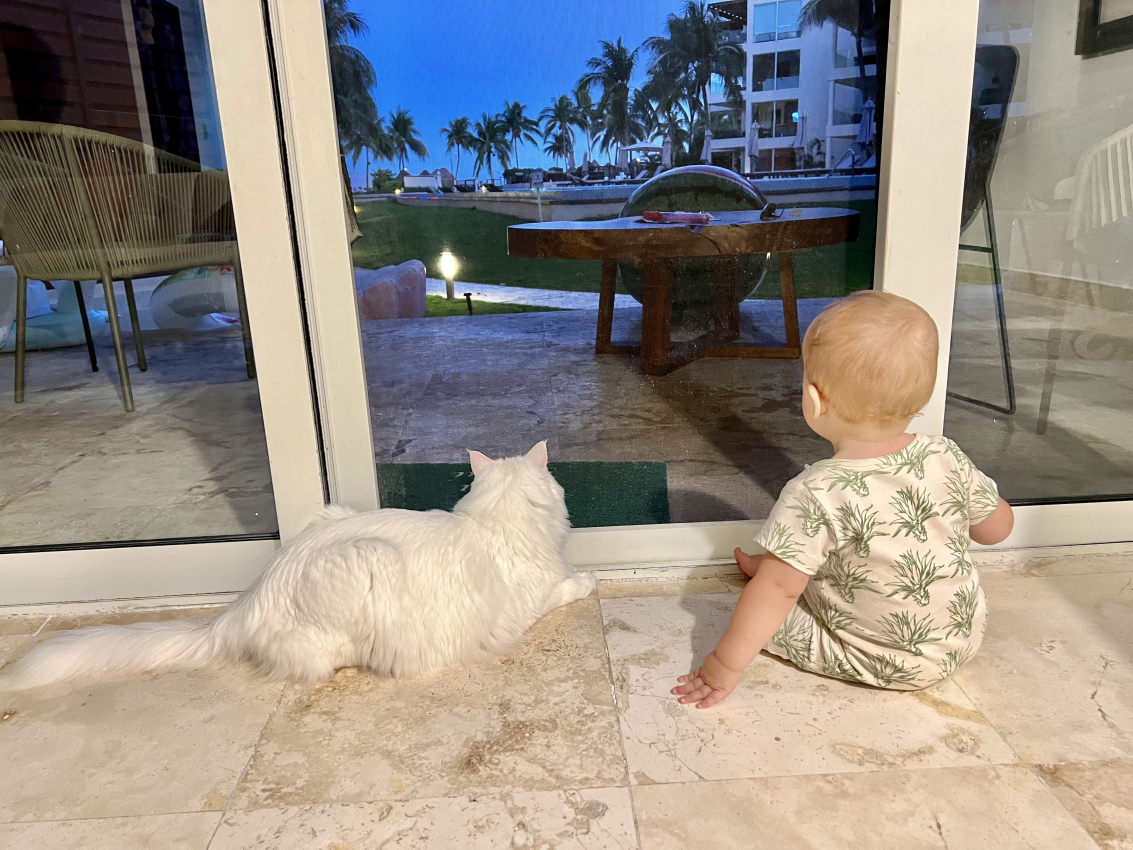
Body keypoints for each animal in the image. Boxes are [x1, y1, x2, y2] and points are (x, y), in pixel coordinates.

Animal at [0, 446, 598, 693]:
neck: (498, 522)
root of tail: (248, 599)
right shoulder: (529, 602)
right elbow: (567, 586)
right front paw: (588, 580)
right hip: (366, 563)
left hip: (334, 514)